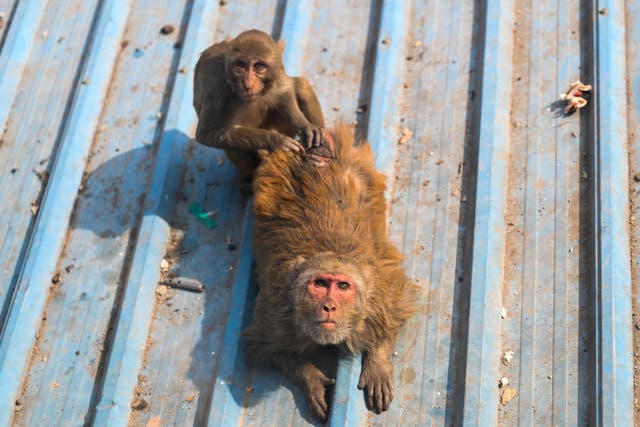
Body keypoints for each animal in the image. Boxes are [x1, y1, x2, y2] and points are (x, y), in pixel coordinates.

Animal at [192, 28, 330, 182]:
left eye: (258, 66)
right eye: (240, 66)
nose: (248, 84)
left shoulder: (277, 68)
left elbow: (284, 92)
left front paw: (306, 127)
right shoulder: (216, 85)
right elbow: (207, 133)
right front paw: (276, 141)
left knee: (300, 85)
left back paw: (322, 149)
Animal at [244, 123, 420, 422]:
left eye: (342, 287)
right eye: (320, 284)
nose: (329, 306)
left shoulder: (379, 294)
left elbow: (397, 306)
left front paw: (377, 360)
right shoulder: (278, 311)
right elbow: (264, 347)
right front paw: (310, 378)